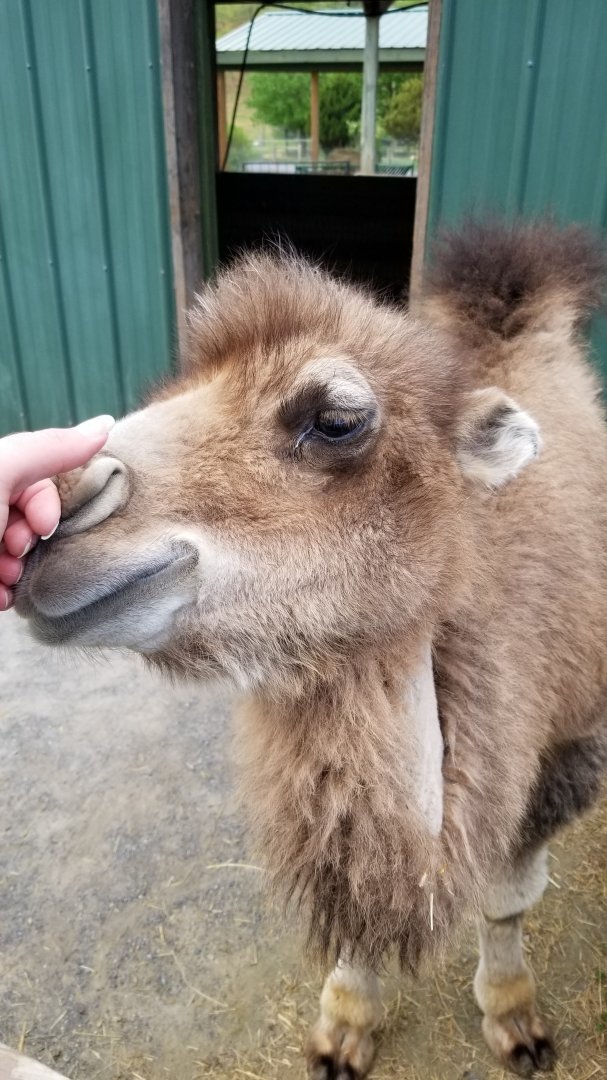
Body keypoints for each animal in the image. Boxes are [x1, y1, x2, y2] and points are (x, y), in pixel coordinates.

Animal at [16, 220, 607, 1078]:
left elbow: (506, 901)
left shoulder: (566, 753)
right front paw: (345, 1028)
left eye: (334, 419)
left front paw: (514, 1018)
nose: (56, 502)